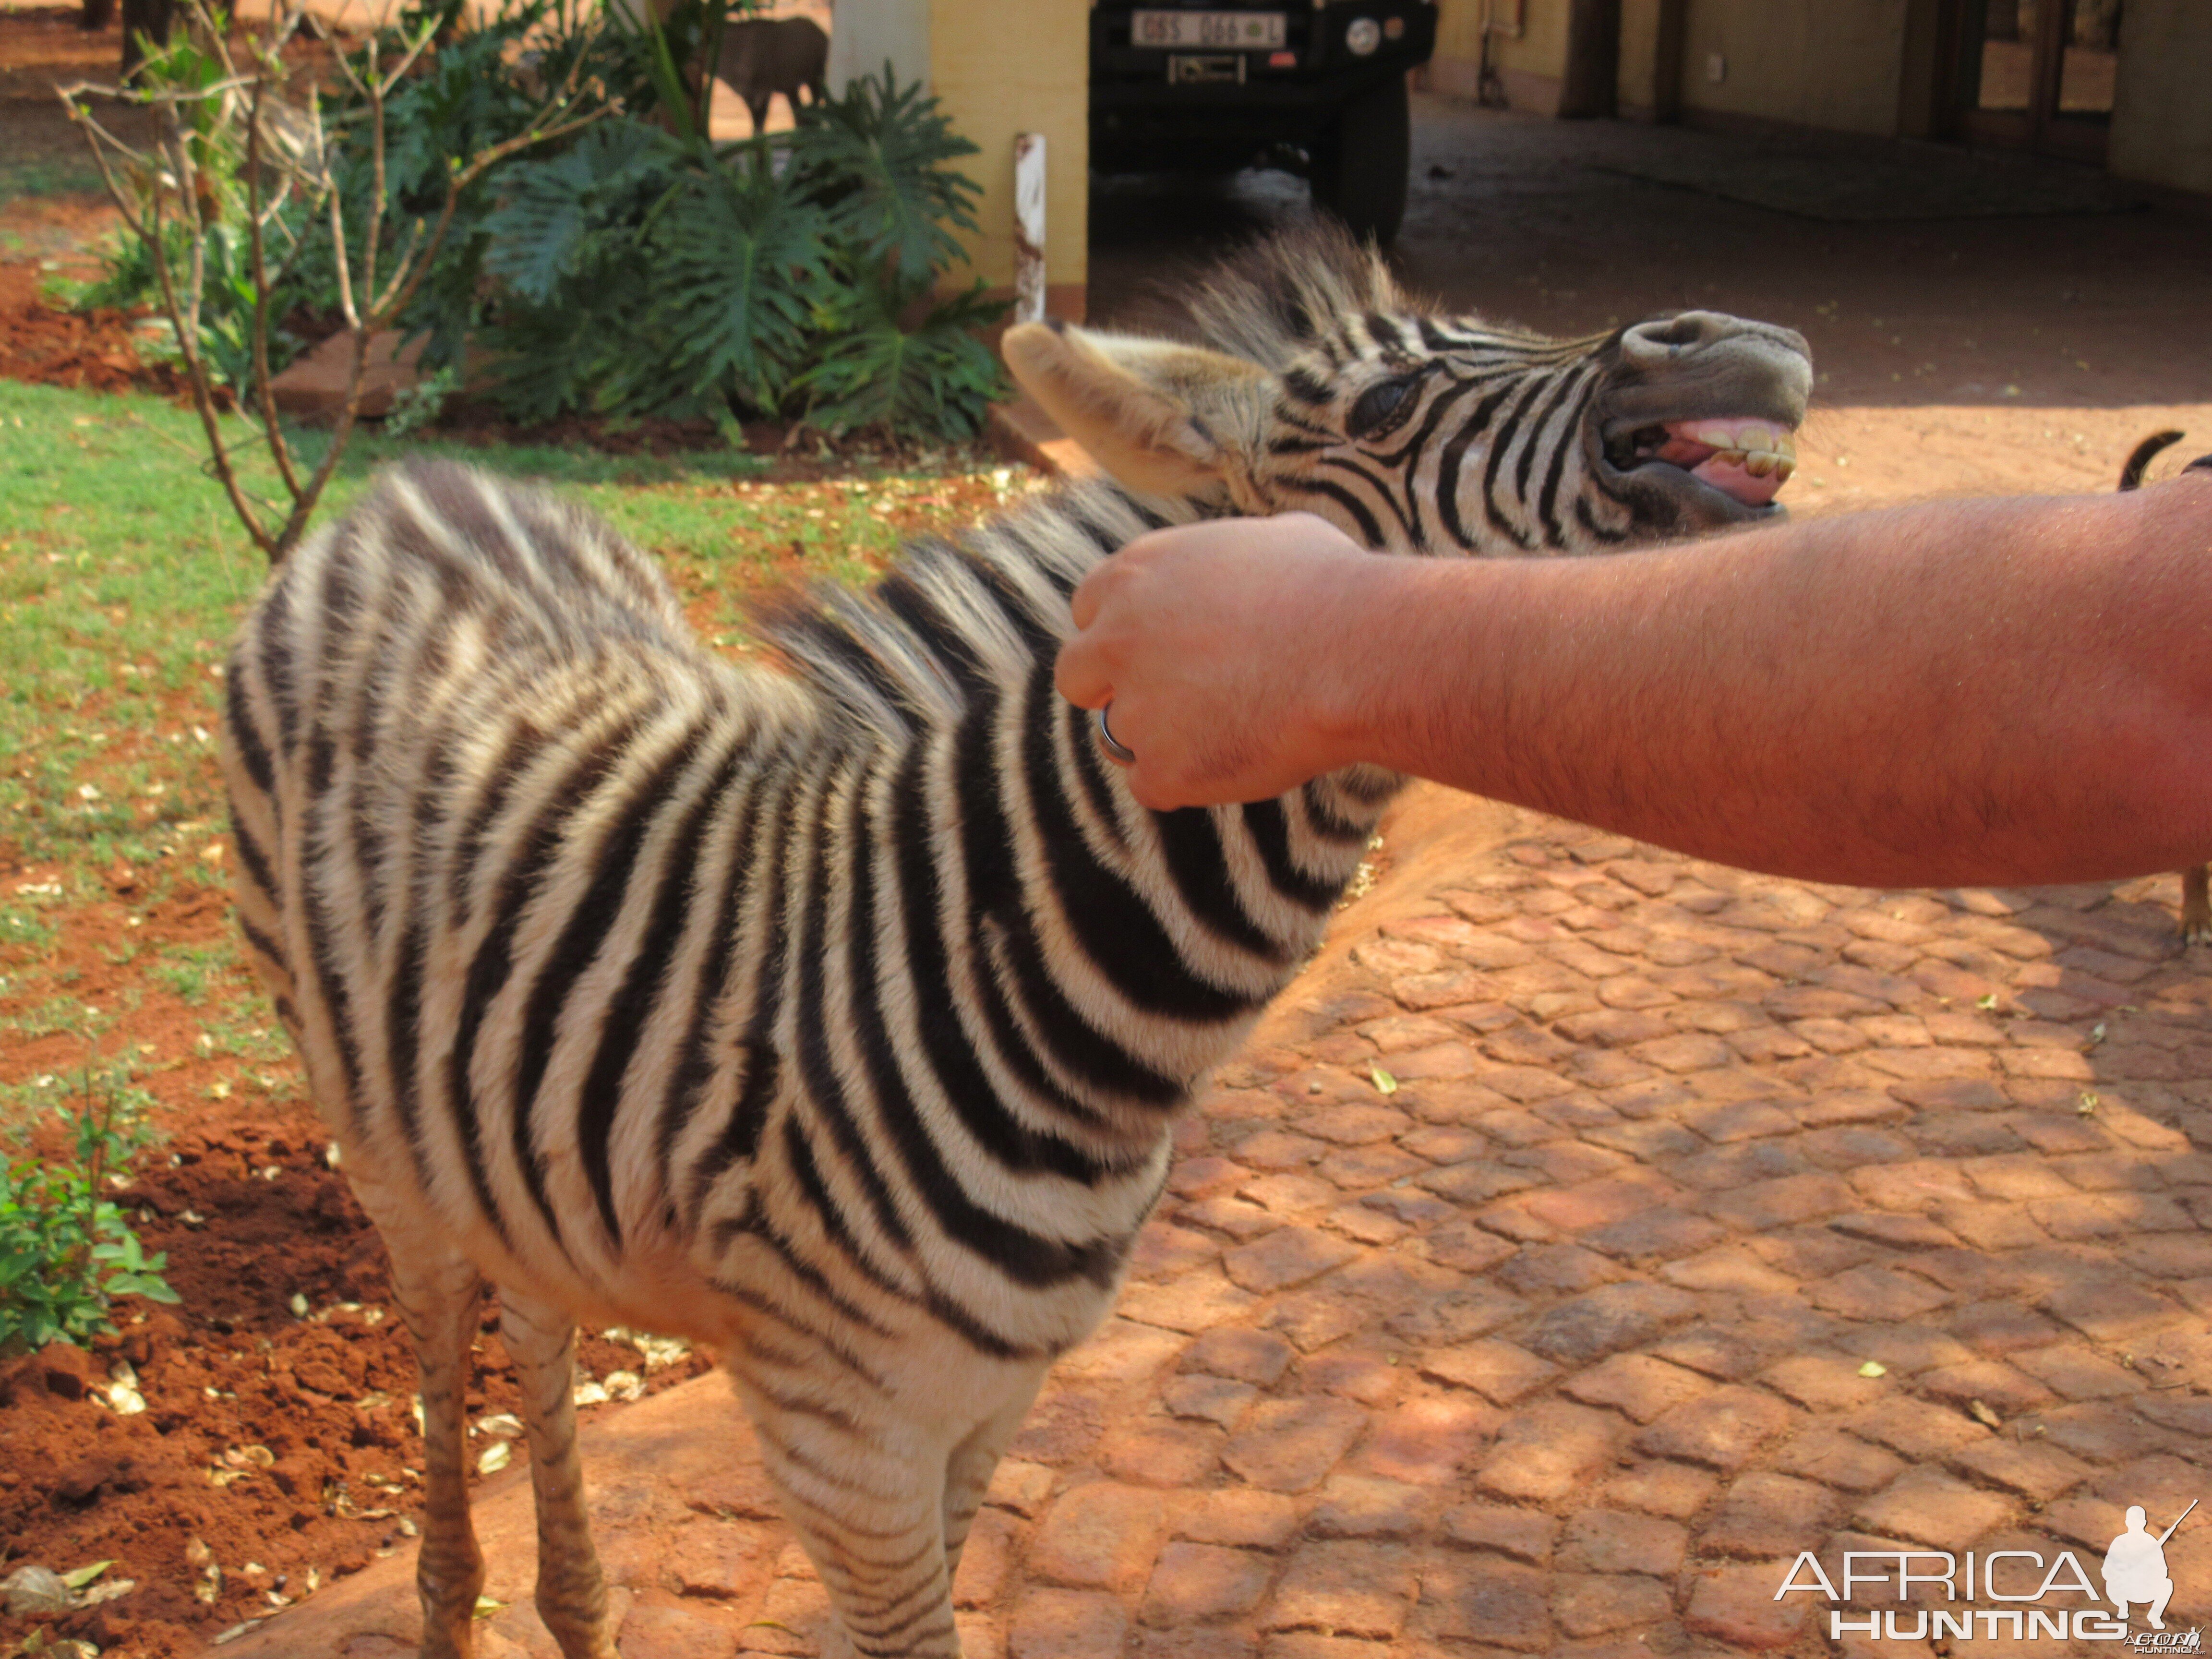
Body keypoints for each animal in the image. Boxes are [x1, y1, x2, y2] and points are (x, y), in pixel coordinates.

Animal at [224, 224, 1805, 1659]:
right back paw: (461, 1598)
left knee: (536, 1303)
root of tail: (412, 486)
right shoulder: (841, 1438)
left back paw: (577, 1606)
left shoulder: (992, 1404)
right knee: (455, 1328)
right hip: (368, 1124)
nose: (1740, 339)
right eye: (1386, 406)